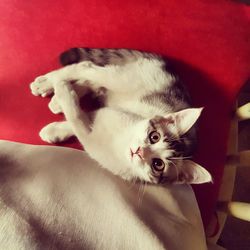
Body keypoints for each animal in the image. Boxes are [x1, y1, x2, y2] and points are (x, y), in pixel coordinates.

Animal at [30, 48, 212, 184]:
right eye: (154, 137)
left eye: (158, 164)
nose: (139, 151)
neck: (121, 141)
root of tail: (162, 64)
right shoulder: (115, 111)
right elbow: (79, 116)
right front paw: (59, 117)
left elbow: (79, 120)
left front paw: (55, 129)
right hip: (123, 79)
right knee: (87, 67)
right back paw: (50, 82)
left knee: (92, 82)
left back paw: (56, 94)